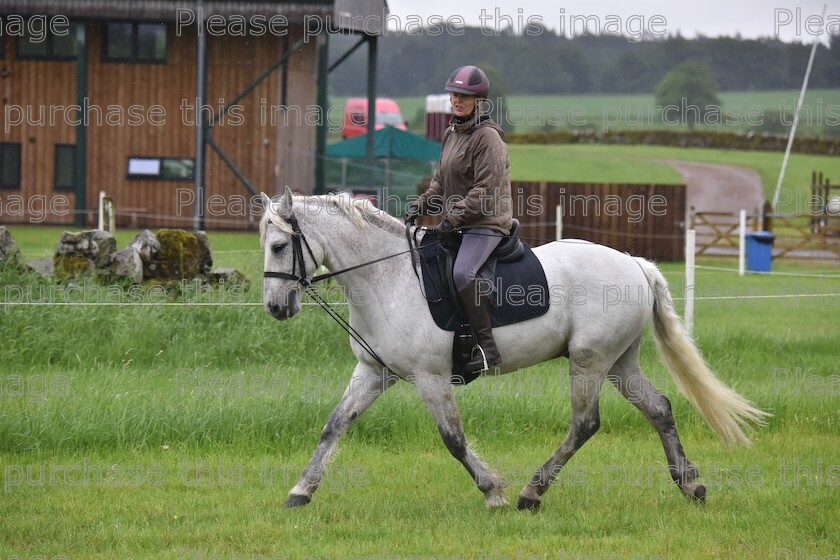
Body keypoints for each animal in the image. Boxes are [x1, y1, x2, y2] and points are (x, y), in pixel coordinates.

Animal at [260, 186, 768, 510]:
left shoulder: (430, 378)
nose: (275, 307)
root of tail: (634, 264)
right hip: (619, 361)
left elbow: (453, 439)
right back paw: (690, 486)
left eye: (280, 246)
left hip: (589, 361)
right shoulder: (373, 371)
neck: (388, 278)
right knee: (659, 408)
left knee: (585, 424)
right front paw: (300, 492)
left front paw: (493, 492)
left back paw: (531, 493)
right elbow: (333, 425)